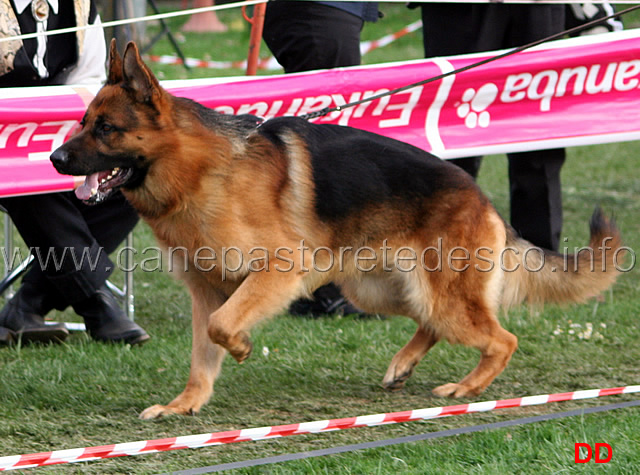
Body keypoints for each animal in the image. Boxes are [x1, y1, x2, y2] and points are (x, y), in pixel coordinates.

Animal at [50, 41, 620, 420]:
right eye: (82, 121)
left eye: (106, 129)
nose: (54, 159)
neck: (198, 170)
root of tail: (480, 196)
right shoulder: (206, 290)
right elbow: (202, 351)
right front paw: (185, 404)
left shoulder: (276, 273)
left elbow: (222, 327)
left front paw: (242, 347)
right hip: (380, 291)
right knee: (433, 324)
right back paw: (404, 366)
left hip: (438, 292)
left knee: (502, 338)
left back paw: (466, 387)